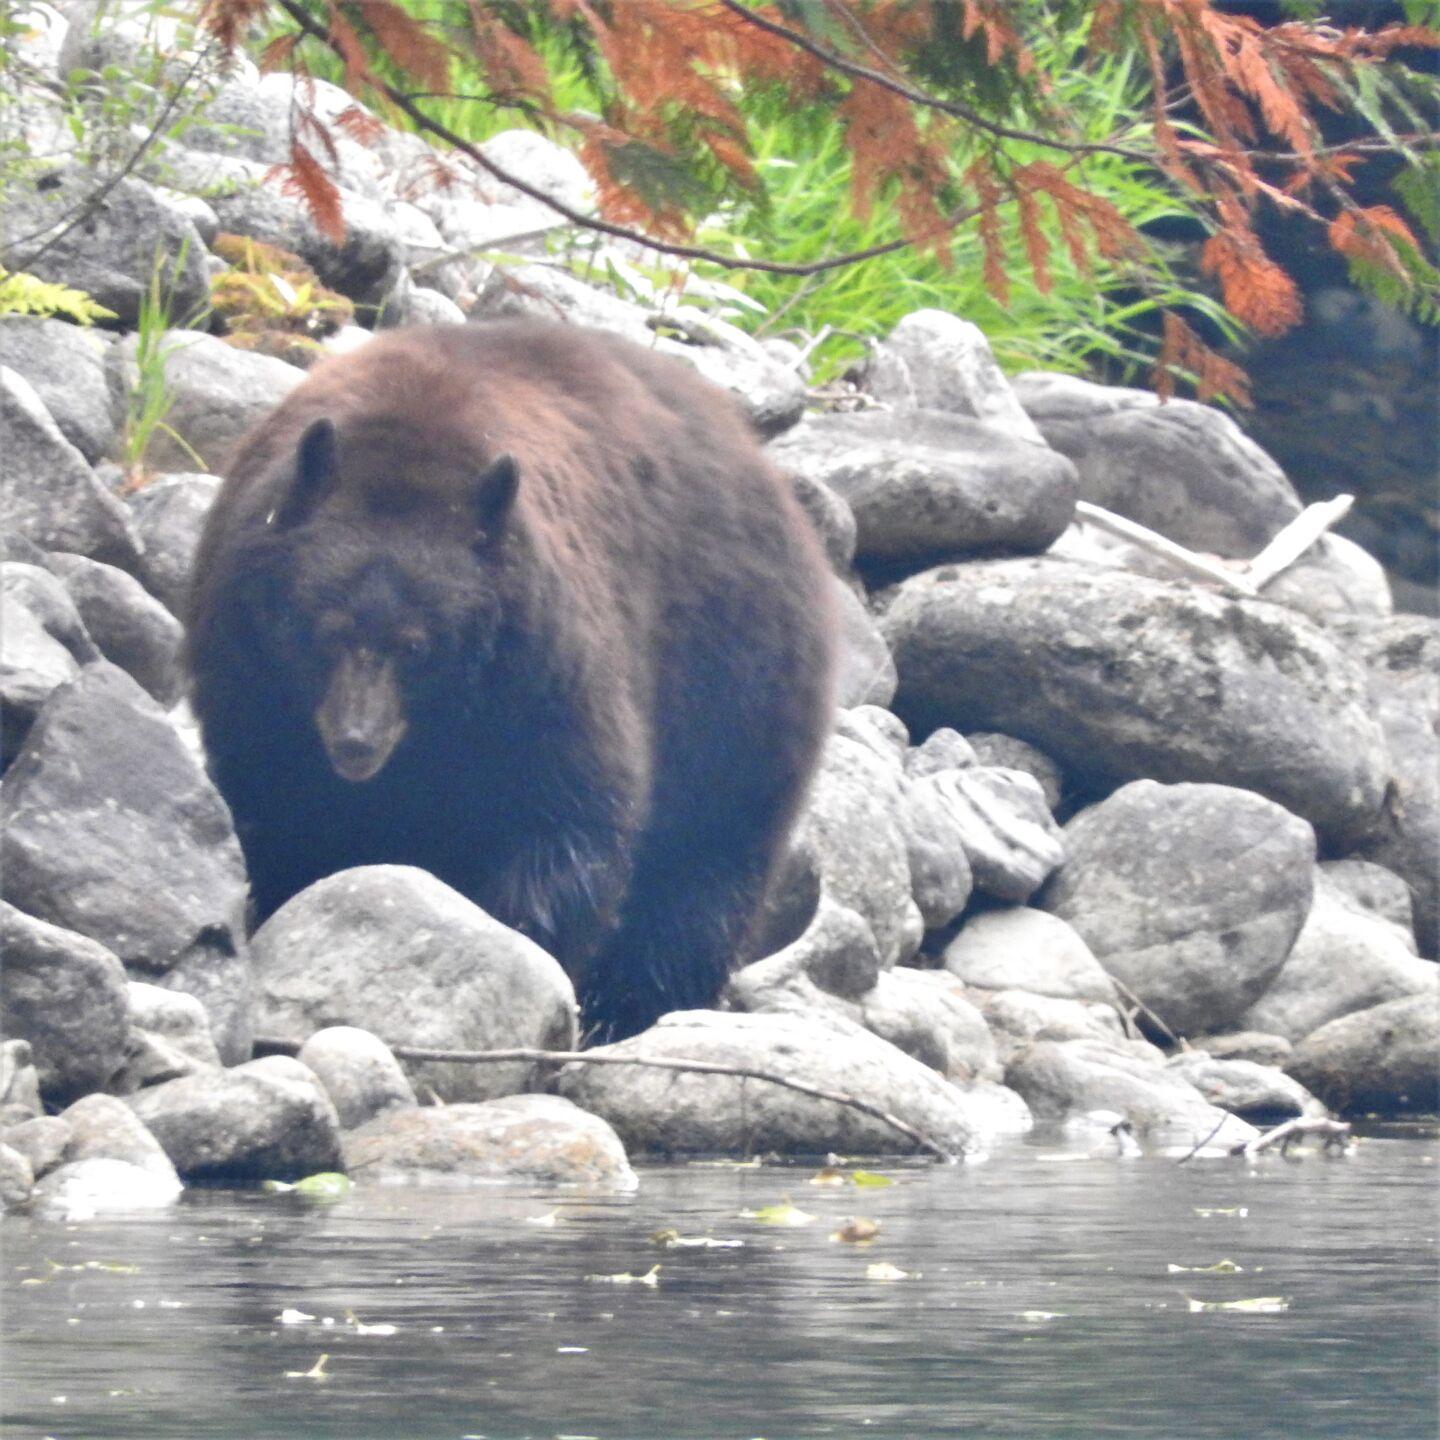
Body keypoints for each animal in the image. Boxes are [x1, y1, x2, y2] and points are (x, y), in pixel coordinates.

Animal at [185, 320, 837, 1041]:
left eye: (416, 646)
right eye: (324, 628)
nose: (356, 742)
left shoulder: (543, 667)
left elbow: (570, 819)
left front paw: (520, 942)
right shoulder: (248, 665)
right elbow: (273, 801)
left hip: (736, 691)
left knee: (701, 871)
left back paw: (635, 1007)